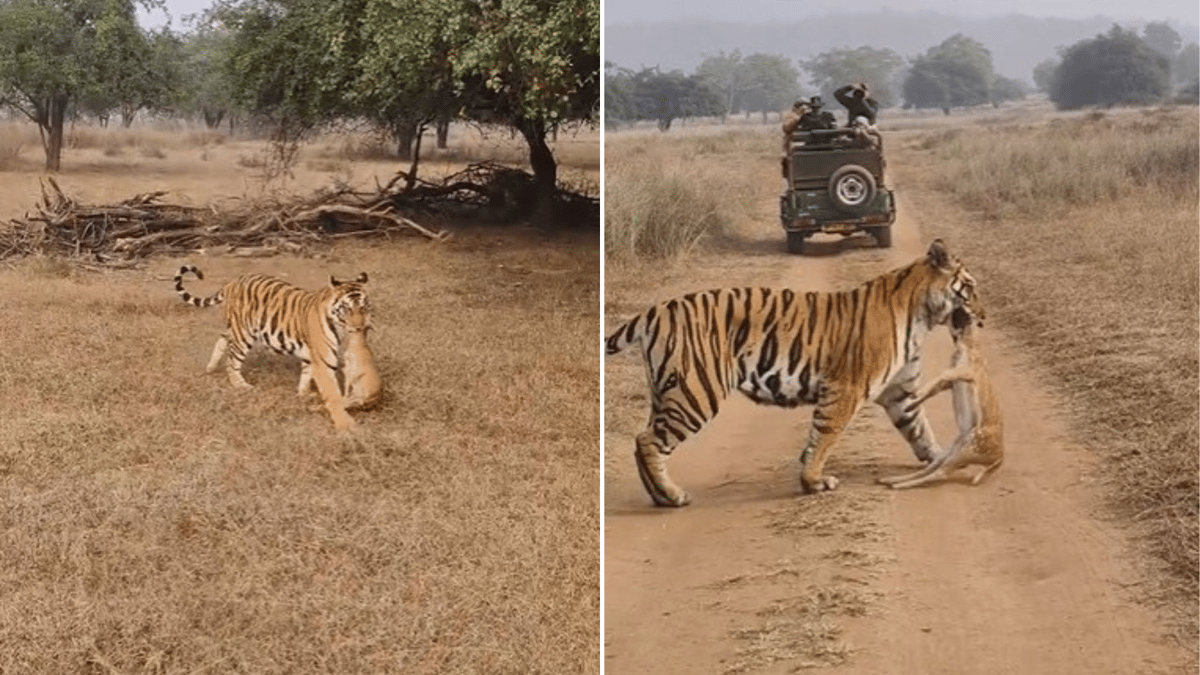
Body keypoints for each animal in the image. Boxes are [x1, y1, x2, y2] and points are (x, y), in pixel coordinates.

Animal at [174, 265, 369, 427]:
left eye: (364, 307)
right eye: (346, 308)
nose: (359, 327)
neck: (340, 326)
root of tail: (232, 283)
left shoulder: (311, 355)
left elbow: (306, 375)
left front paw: (303, 394)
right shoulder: (325, 359)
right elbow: (331, 389)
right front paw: (344, 419)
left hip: (234, 329)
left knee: (222, 339)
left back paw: (211, 367)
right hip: (243, 334)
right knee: (232, 360)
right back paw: (241, 385)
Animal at [604, 237, 979, 504]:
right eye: (970, 288)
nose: (983, 316)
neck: (922, 317)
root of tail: (656, 309)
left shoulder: (899, 392)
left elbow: (919, 429)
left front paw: (940, 459)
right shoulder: (845, 389)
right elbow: (825, 436)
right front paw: (814, 481)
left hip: (665, 391)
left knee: (642, 441)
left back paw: (659, 495)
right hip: (695, 393)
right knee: (648, 440)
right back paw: (672, 496)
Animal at [878, 302, 998, 485]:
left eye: (966, 315)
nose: (957, 308)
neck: (968, 345)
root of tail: (999, 459)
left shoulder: (965, 372)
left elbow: (942, 376)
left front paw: (914, 397)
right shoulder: (953, 381)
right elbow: (935, 387)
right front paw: (912, 403)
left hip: (965, 451)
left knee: (940, 474)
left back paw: (900, 483)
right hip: (954, 451)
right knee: (933, 468)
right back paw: (890, 479)